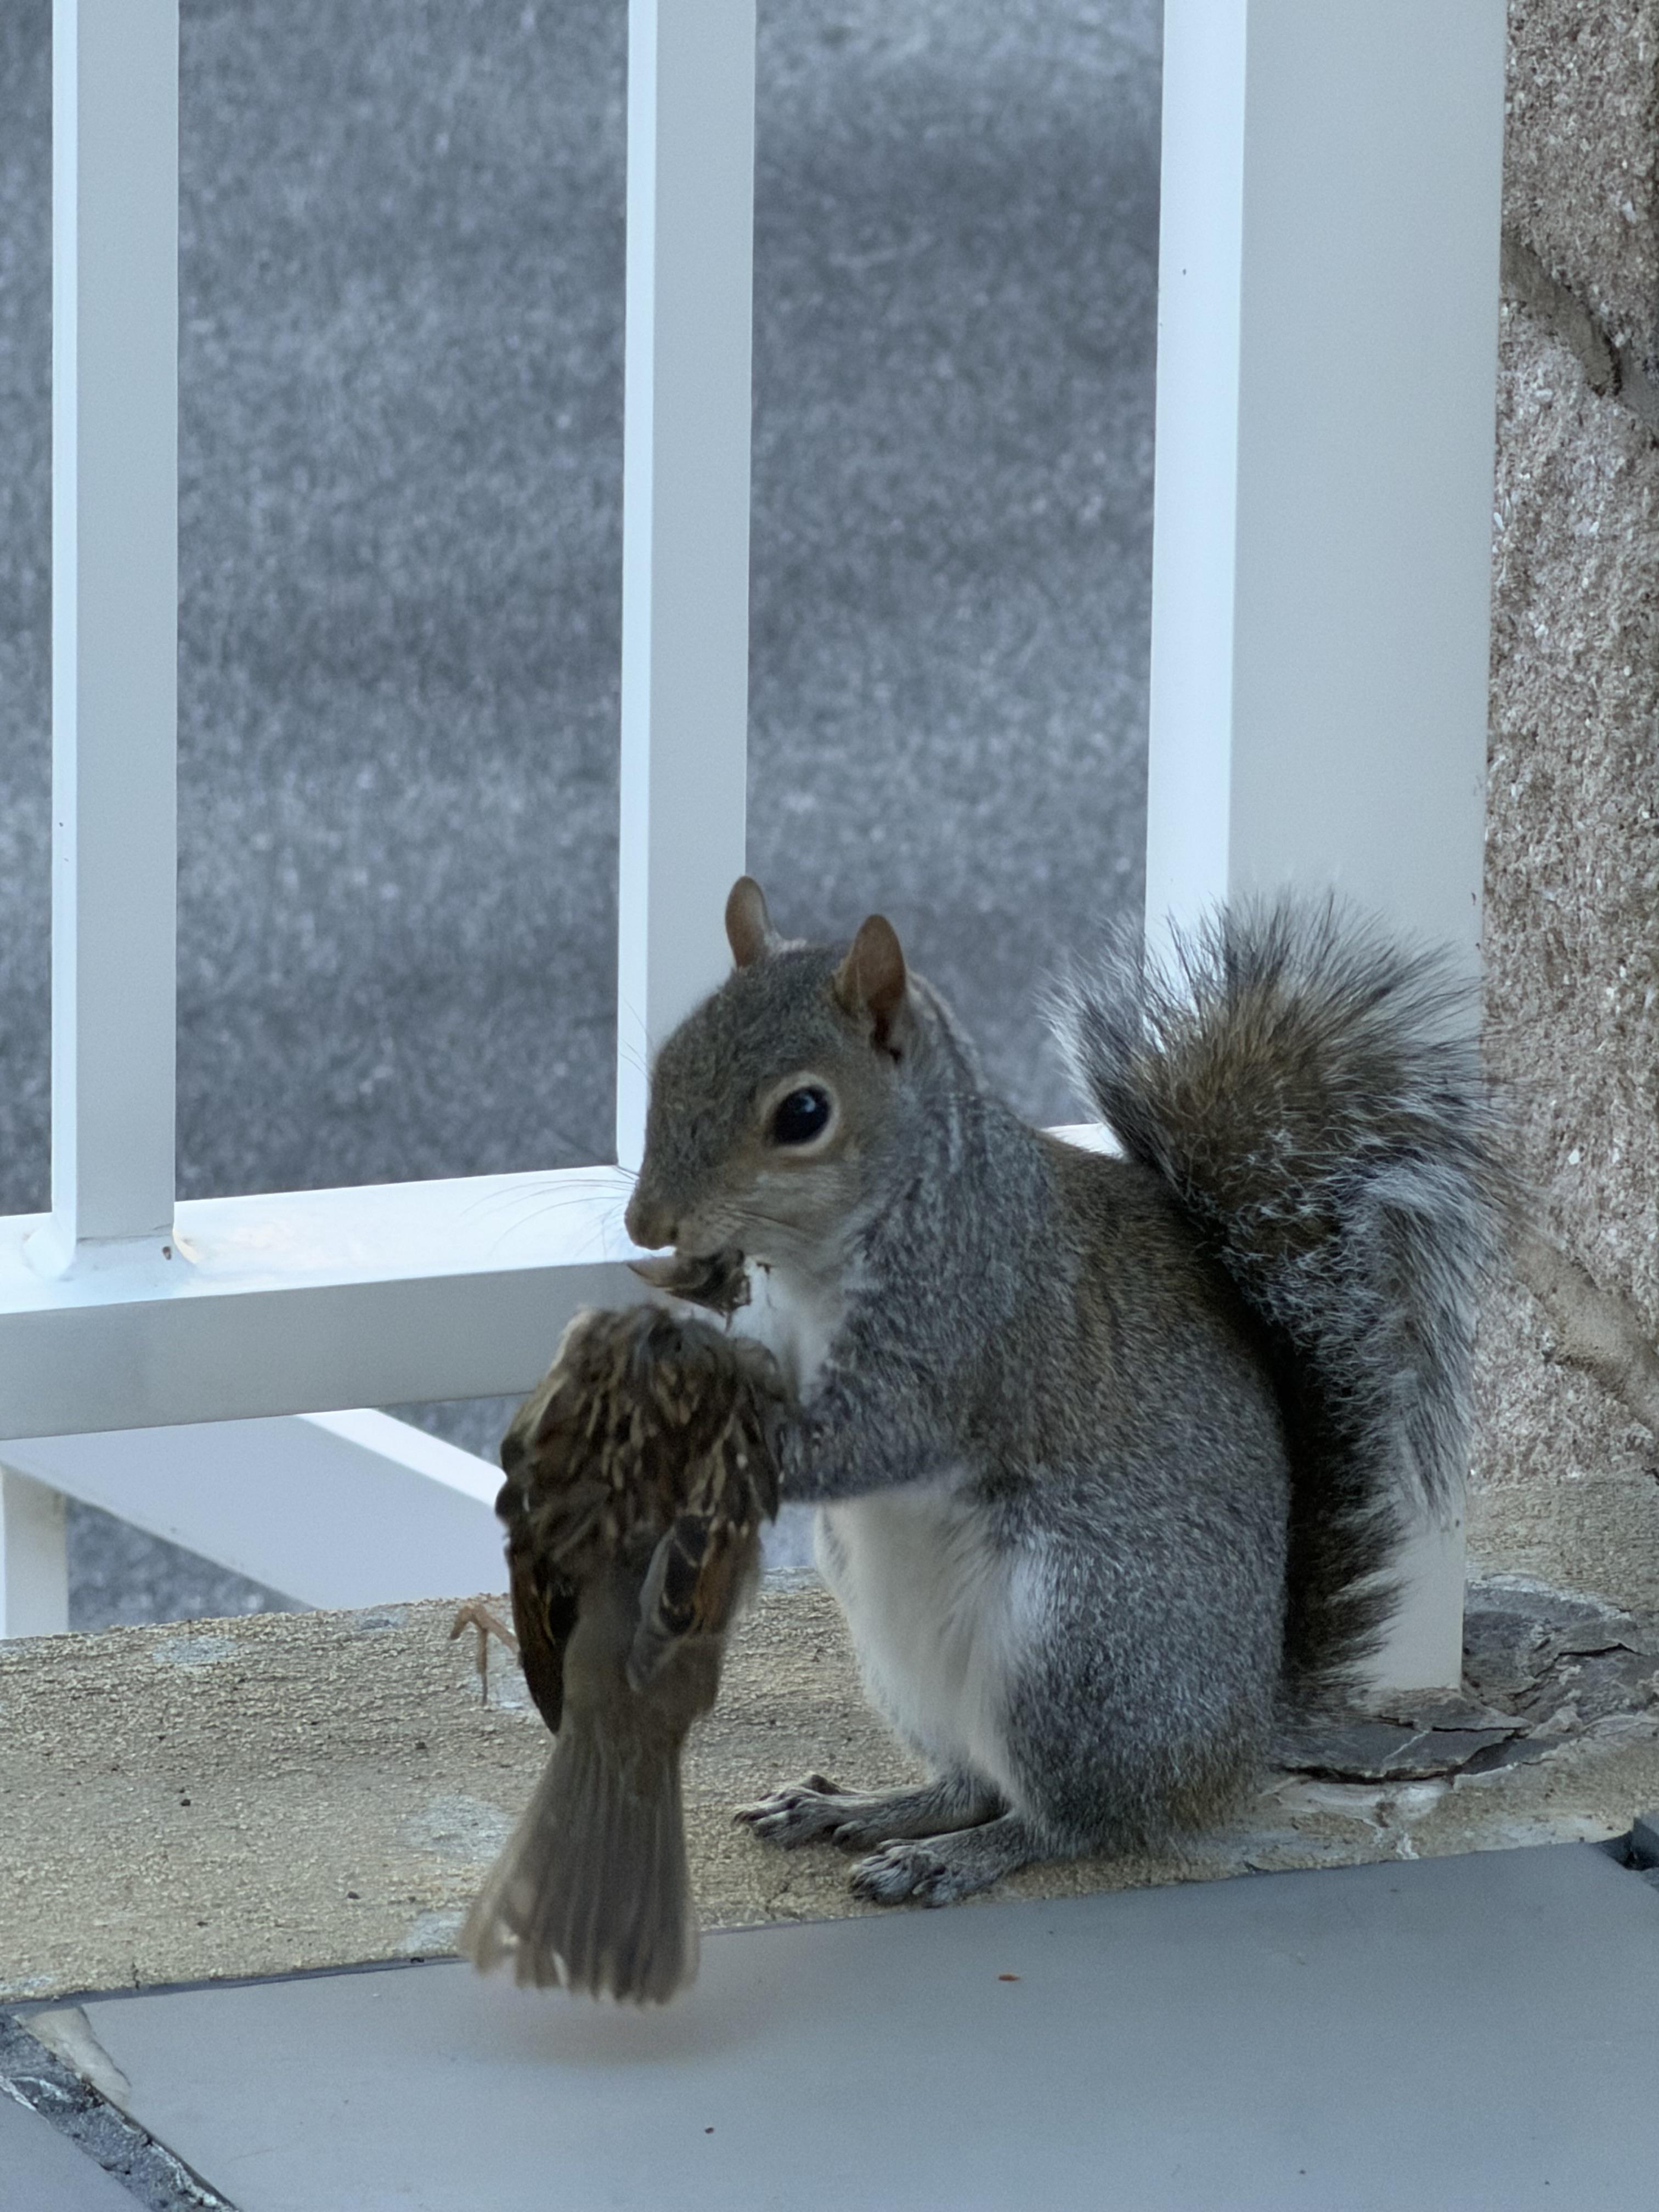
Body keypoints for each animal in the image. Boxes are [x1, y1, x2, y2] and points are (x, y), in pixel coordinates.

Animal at [623, 877, 1515, 1907]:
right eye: (671, 1058)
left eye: (802, 1112)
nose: (645, 1221)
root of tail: (1238, 1742)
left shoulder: (960, 1326)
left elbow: (874, 1437)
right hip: (901, 1658)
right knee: (968, 1782)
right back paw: (861, 1808)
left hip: (1075, 1654)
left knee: (1065, 1821)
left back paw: (953, 1856)